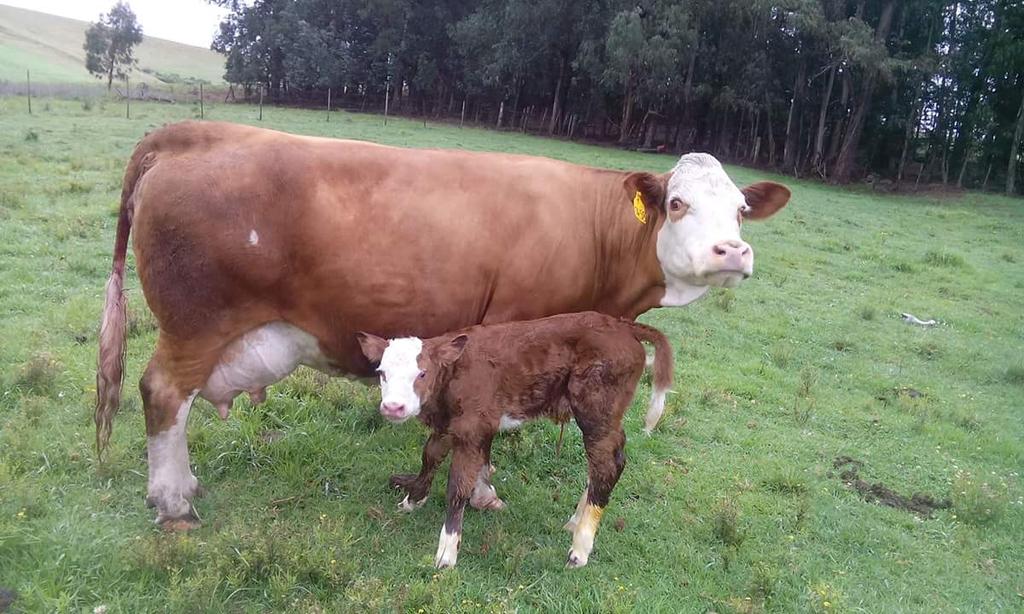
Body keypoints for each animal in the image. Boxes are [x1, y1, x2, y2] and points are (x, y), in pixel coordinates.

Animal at [93, 121, 789, 529]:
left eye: (741, 209)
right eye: (677, 203)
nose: (733, 252)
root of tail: (195, 131)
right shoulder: (509, 328)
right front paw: (480, 491)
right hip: (194, 325)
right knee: (163, 394)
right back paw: (174, 501)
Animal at [355, 312, 674, 569]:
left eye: (422, 373)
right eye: (381, 373)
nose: (393, 407)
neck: (453, 377)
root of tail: (622, 325)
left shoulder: (472, 427)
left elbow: (458, 484)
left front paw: (447, 553)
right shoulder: (449, 424)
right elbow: (430, 455)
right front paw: (413, 499)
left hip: (597, 409)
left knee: (607, 463)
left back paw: (579, 549)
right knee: (604, 461)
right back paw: (575, 522)